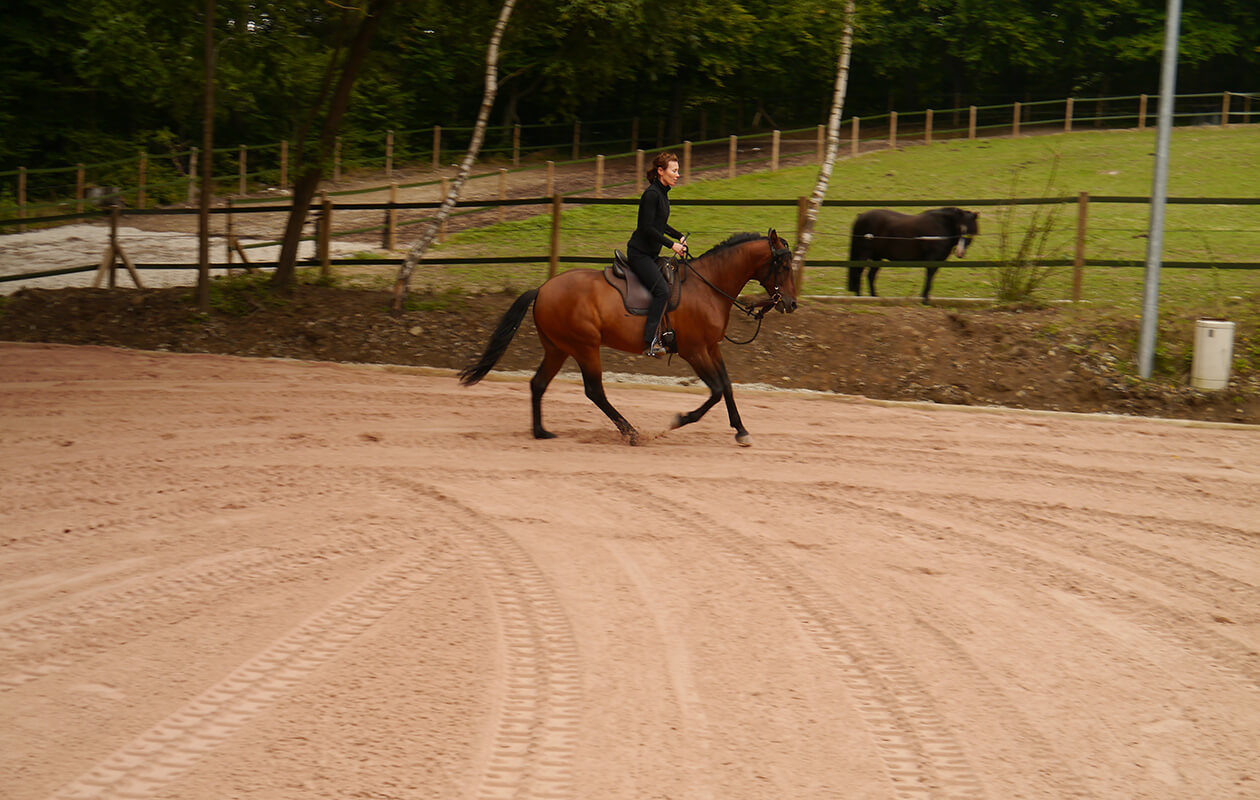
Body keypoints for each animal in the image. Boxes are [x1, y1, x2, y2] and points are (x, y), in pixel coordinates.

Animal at [461, 231, 796, 448]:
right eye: (784, 266)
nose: (791, 304)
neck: (708, 287)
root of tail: (542, 288)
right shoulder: (694, 351)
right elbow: (714, 391)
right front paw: (680, 419)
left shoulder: (711, 348)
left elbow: (726, 386)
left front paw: (741, 430)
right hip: (584, 347)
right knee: (594, 391)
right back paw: (632, 433)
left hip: (558, 348)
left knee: (538, 383)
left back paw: (541, 431)